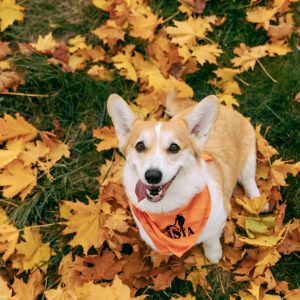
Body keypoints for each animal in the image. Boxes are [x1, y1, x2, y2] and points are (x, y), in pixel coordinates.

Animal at [106, 92, 262, 262]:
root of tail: (226, 108)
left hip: (249, 158)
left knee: (248, 178)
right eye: (140, 146)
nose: (152, 176)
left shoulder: (219, 219)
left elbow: (211, 240)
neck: (166, 207)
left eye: (174, 147)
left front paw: (214, 255)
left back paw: (258, 201)